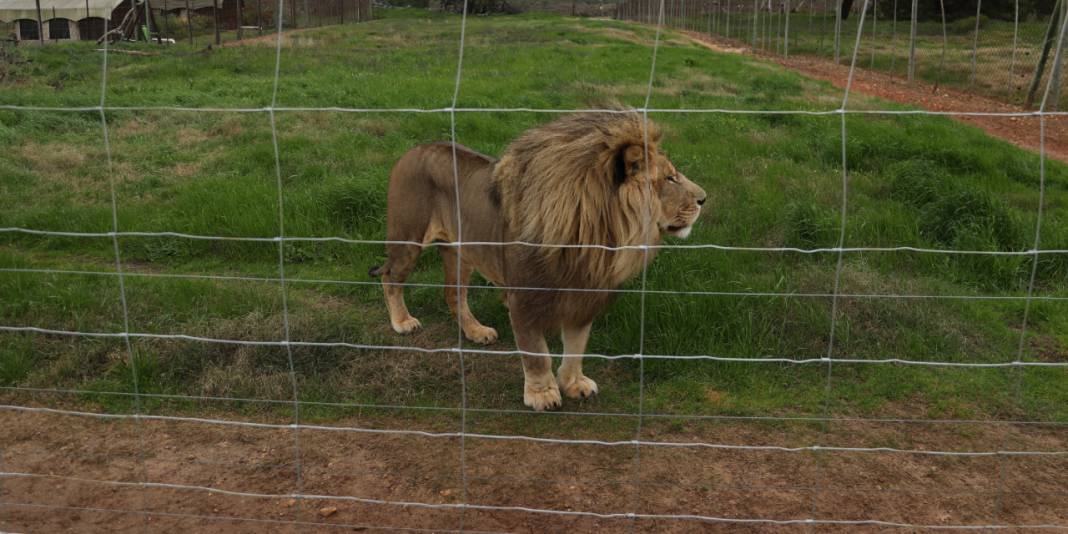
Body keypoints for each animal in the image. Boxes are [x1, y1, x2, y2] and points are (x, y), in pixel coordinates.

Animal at [371, 111, 704, 412]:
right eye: (670, 178)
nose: (704, 199)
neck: (595, 242)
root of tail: (414, 149)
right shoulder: (523, 299)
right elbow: (536, 353)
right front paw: (542, 394)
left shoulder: (583, 298)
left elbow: (577, 346)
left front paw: (574, 383)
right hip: (409, 238)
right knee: (390, 276)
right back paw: (402, 322)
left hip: (461, 252)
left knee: (454, 294)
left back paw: (476, 331)